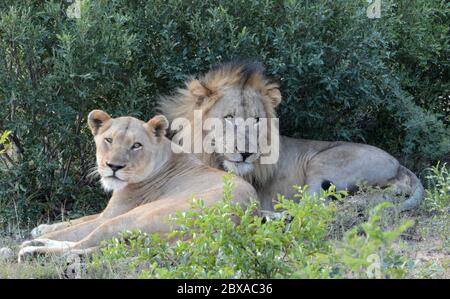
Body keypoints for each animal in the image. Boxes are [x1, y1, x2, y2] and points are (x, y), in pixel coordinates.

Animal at [18, 110, 256, 262]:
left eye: (136, 145)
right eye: (109, 140)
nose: (114, 166)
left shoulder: (111, 215)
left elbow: (74, 229)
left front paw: (34, 237)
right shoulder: (107, 211)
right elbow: (76, 221)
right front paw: (42, 228)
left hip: (134, 217)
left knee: (84, 243)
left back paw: (31, 250)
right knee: (97, 246)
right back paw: (39, 243)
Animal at [158, 61, 422, 211]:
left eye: (257, 119)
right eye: (229, 117)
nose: (246, 153)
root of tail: (399, 164)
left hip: (322, 162)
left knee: (314, 205)